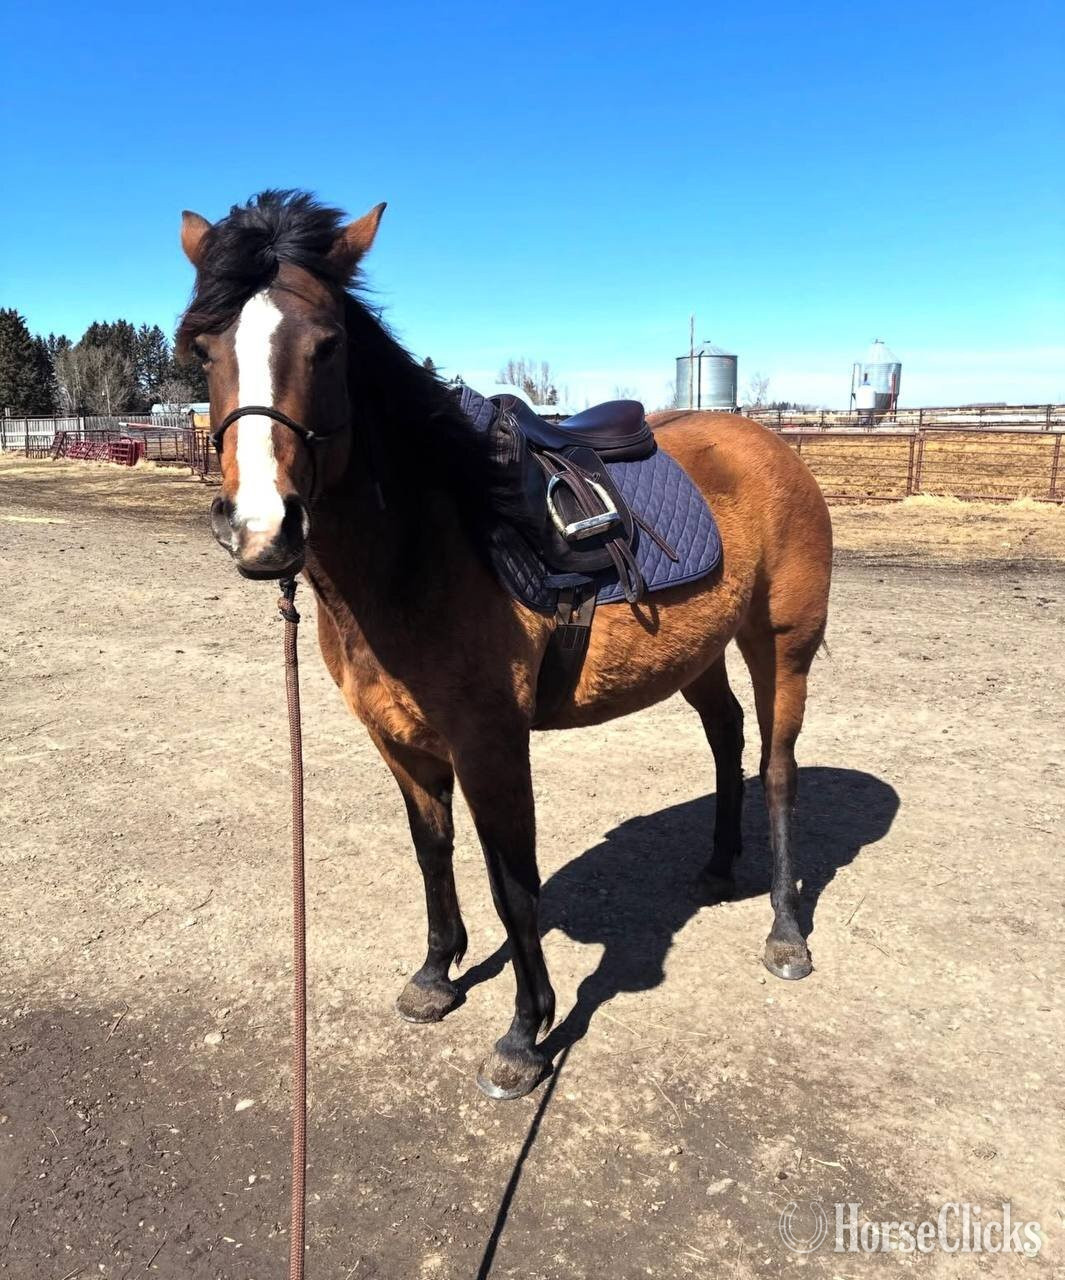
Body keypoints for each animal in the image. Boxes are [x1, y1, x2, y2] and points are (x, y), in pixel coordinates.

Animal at [177, 190, 833, 1101]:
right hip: (698, 652)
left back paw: (783, 932)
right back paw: (715, 868)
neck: (425, 544)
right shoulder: (400, 740)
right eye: (202, 348)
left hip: (782, 643)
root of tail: (770, 445)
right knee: (726, 735)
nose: (263, 530)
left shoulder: (490, 742)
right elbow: (432, 853)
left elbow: (512, 885)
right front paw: (436, 974)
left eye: (328, 344)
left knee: (776, 770)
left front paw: (525, 1034)